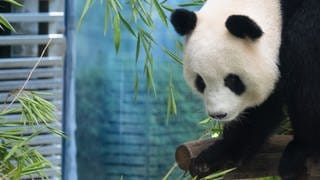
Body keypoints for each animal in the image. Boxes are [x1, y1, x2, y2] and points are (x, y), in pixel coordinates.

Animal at [171, 0, 320, 179]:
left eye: (232, 79)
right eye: (200, 81)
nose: (218, 115)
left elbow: (305, 85)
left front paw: (300, 150)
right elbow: (264, 108)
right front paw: (214, 157)